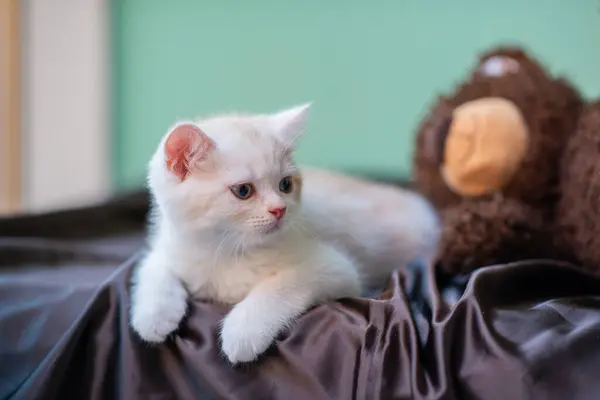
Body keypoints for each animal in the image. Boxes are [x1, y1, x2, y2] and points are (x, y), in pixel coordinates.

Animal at [130, 104, 440, 366]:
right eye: (243, 191)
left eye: (285, 184)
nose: (279, 209)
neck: (223, 251)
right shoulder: (172, 245)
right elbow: (152, 267)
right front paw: (154, 315)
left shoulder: (337, 267)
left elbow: (282, 284)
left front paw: (242, 331)